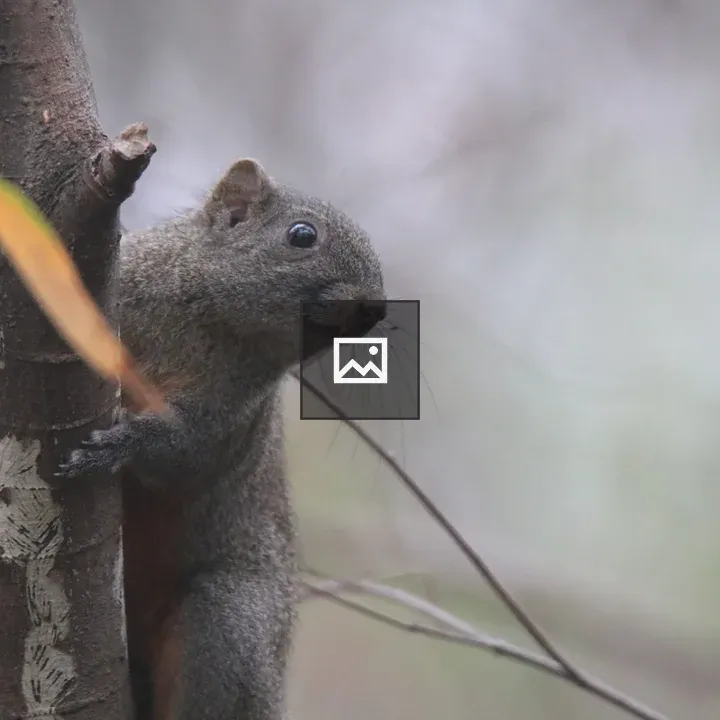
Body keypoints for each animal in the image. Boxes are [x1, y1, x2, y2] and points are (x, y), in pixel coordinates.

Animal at [56, 158, 387, 720]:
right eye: (302, 235)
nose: (375, 310)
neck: (205, 321)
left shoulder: (231, 411)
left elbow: (184, 453)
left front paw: (122, 442)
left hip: (231, 624)